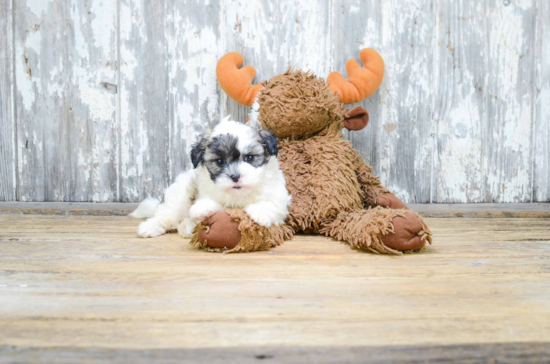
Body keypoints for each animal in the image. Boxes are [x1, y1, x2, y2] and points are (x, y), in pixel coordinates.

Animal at [132, 116, 294, 239]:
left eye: (249, 157)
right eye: (220, 161)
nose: (235, 176)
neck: (239, 195)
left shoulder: (280, 199)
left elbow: (273, 204)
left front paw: (260, 211)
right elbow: (214, 204)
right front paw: (202, 208)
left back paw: (186, 227)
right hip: (178, 195)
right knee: (167, 214)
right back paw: (151, 227)